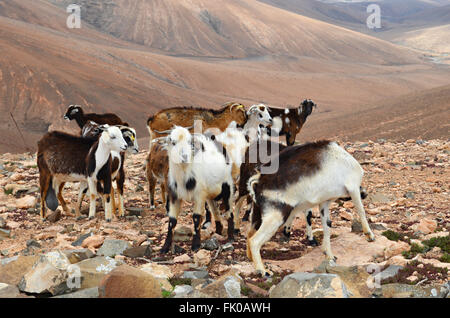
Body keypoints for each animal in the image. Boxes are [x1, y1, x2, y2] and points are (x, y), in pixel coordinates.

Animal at [248, 140, 374, 278]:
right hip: (275, 218)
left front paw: (329, 255)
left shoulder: (324, 203)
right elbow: (361, 211)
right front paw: (369, 235)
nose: (365, 194)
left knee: (249, 236)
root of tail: (257, 183)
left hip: (258, 216)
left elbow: (327, 226)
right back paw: (263, 271)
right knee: (254, 241)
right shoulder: (353, 188)